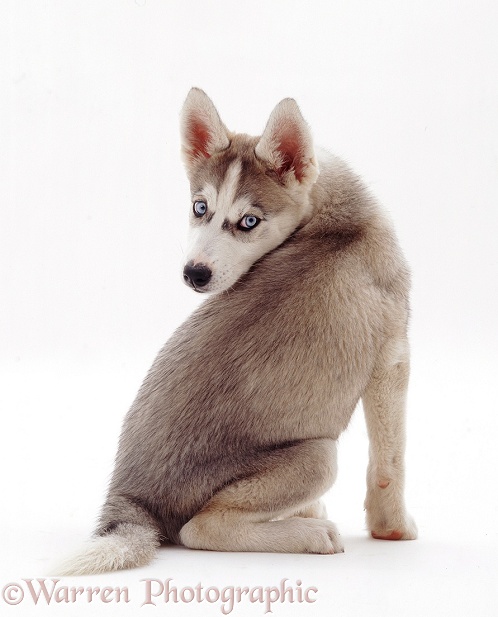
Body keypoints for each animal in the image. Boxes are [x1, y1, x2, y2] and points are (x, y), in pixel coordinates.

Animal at [56, 89, 418, 576]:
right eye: (200, 207)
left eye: (249, 221)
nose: (194, 274)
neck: (334, 217)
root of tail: (130, 499)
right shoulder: (392, 358)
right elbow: (389, 462)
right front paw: (393, 529)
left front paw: (316, 511)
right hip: (318, 455)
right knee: (199, 529)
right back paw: (310, 535)